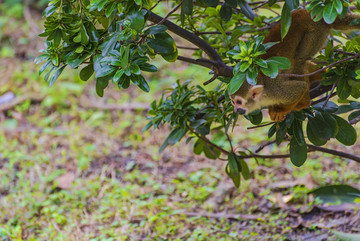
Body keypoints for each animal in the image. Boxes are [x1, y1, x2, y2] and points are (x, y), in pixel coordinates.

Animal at [231, 9, 360, 122]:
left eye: (239, 102)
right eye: (232, 102)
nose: (236, 109)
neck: (262, 96)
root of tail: (308, 12)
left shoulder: (276, 91)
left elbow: (300, 87)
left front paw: (281, 110)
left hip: (315, 31)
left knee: (300, 59)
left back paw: (304, 101)